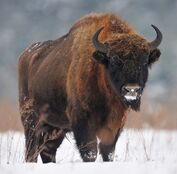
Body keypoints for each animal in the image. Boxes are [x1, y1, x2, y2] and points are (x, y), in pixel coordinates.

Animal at [18, 12, 162, 163]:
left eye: (144, 61)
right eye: (114, 60)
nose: (132, 89)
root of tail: (25, 55)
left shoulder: (115, 124)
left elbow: (108, 151)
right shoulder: (83, 121)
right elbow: (90, 152)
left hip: (55, 127)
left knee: (47, 150)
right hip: (31, 121)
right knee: (32, 150)